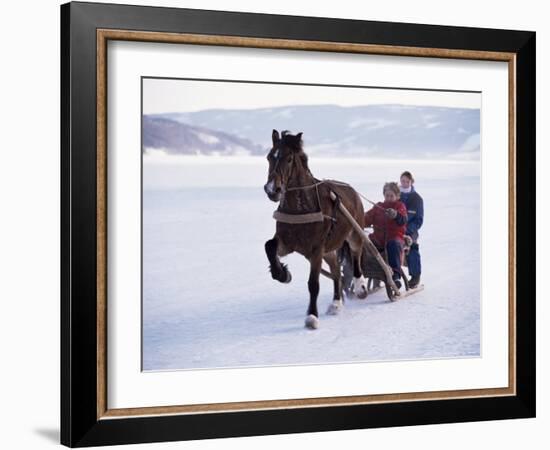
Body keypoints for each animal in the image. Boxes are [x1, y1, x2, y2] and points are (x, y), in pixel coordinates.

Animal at [264, 128, 368, 328]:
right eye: (269, 157)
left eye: (289, 159)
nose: (272, 190)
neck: (301, 207)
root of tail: (352, 191)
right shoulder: (288, 243)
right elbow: (269, 246)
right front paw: (282, 273)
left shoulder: (316, 249)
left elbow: (313, 284)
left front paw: (312, 316)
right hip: (329, 251)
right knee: (336, 272)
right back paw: (336, 303)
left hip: (354, 231)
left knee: (356, 254)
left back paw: (360, 286)